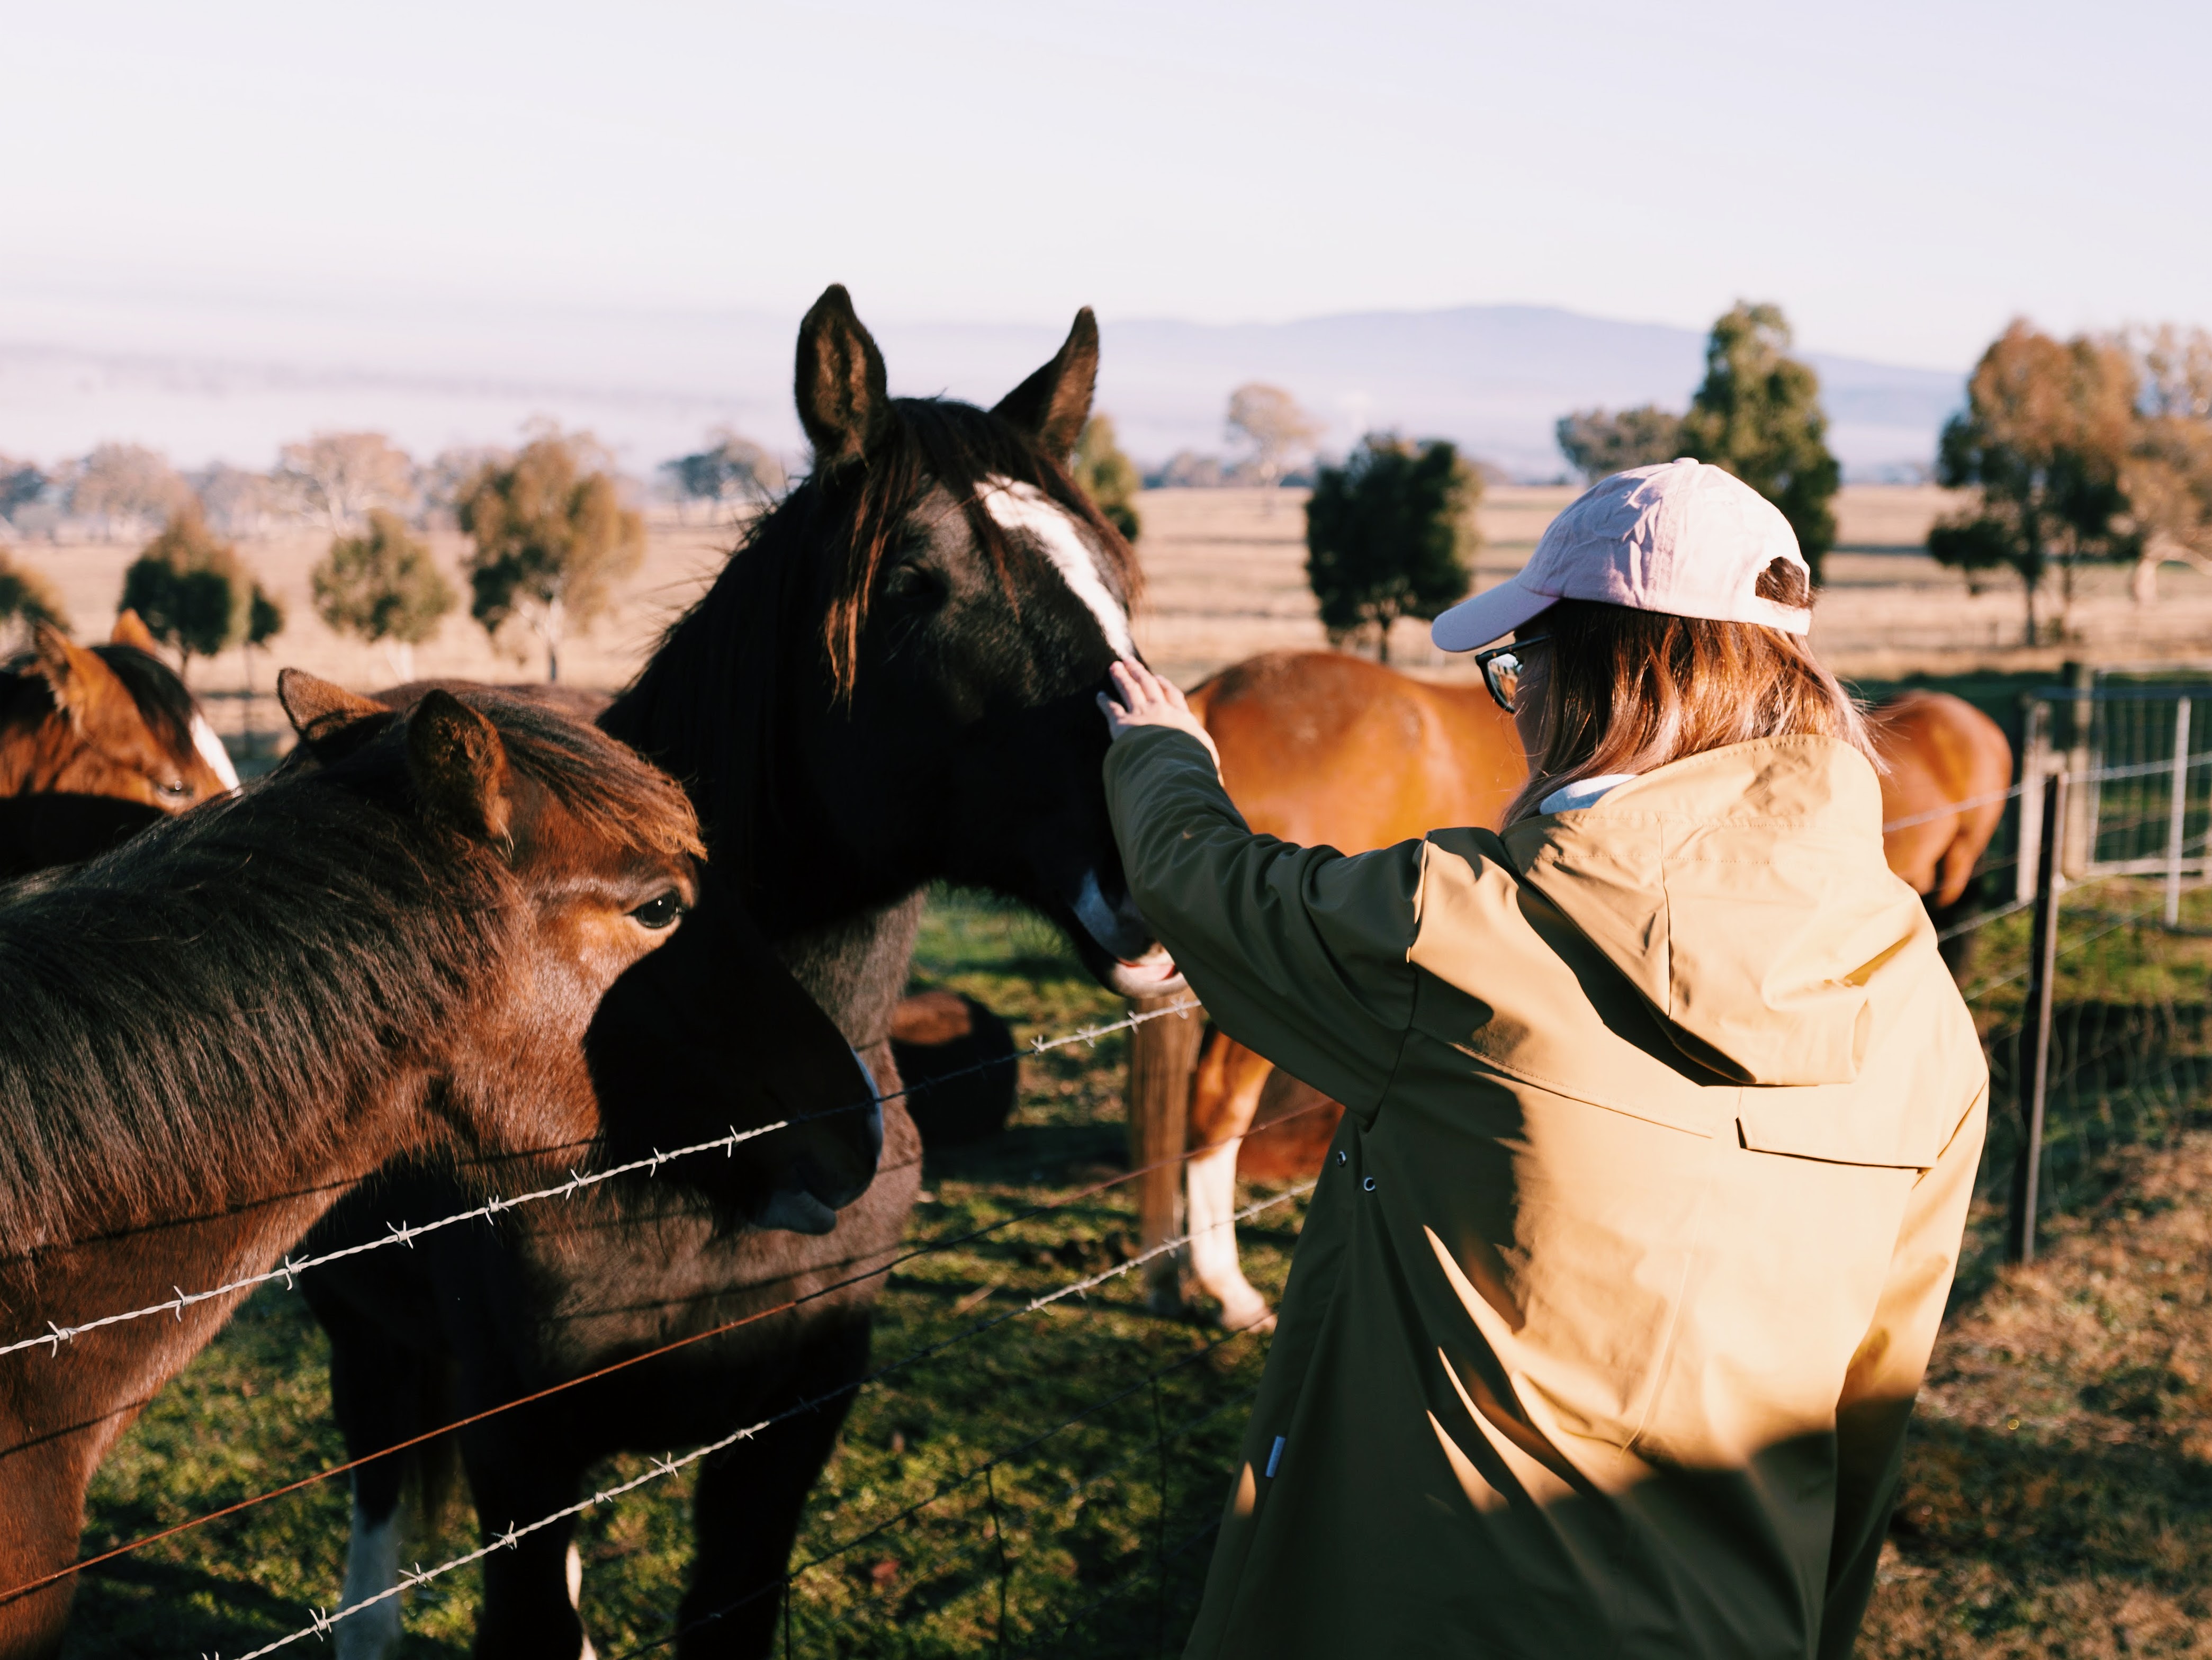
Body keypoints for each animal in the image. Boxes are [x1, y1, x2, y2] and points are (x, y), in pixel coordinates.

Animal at [303, 285, 1185, 1660]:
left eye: (1111, 580)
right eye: (912, 585)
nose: (1159, 842)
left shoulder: (791, 1422)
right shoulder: (520, 1446)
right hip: (369, 1340)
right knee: (381, 1491)